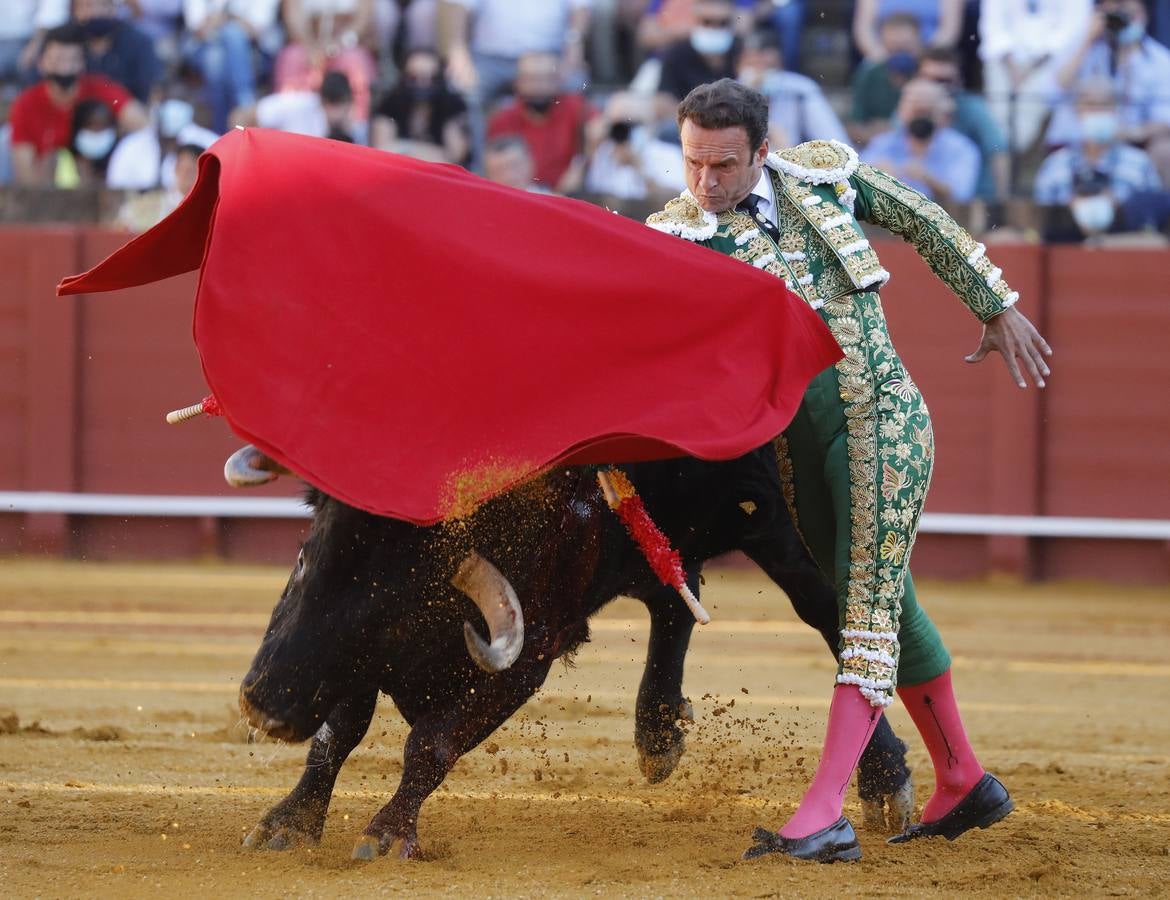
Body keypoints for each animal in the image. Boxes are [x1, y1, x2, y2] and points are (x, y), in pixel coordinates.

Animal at [235, 444, 912, 861]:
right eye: (303, 560)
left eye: (393, 606)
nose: (263, 705)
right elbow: (339, 733)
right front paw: (287, 823)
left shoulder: (527, 654)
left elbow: (429, 743)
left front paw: (384, 835)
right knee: (673, 592)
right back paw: (656, 735)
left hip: (780, 518)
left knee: (831, 612)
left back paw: (885, 782)